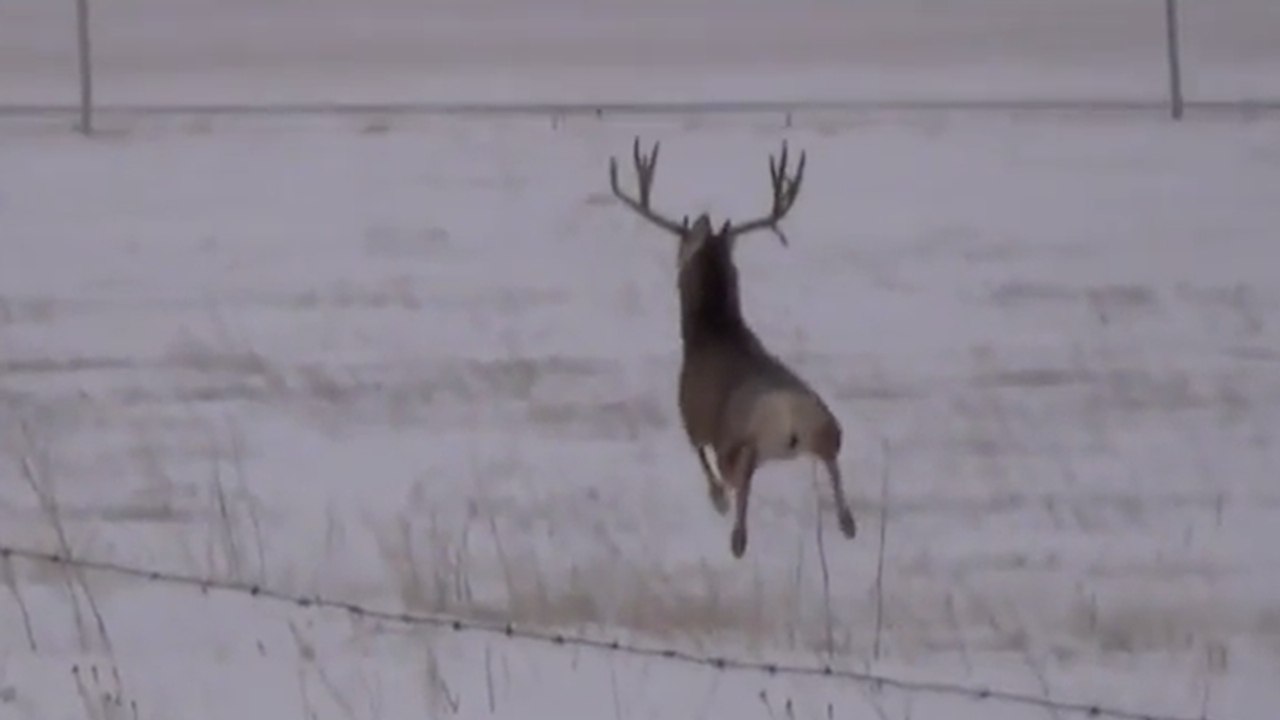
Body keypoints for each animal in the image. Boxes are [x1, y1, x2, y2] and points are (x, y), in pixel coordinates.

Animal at [607, 137, 857, 559]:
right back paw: (846, 522)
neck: (713, 331)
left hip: (738, 440)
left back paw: (738, 536)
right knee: (832, 457)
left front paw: (717, 500)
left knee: (742, 473)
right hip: (827, 423)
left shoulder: (690, 416)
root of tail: (789, 416)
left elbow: (700, 457)